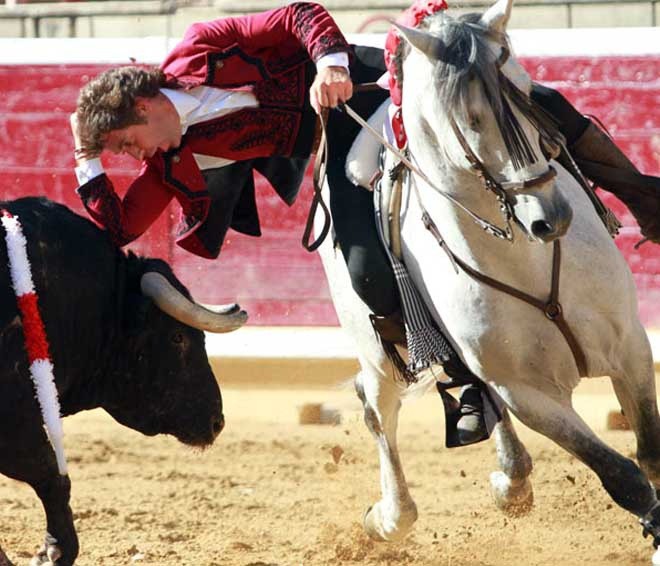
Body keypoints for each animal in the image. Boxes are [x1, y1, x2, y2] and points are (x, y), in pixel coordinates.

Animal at [316, 0, 660, 560]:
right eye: (471, 119)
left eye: (525, 91)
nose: (551, 219)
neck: (525, 258)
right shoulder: (525, 391)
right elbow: (620, 475)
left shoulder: (630, 347)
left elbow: (650, 450)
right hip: (376, 347)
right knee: (376, 408)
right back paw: (389, 518)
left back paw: (510, 480)